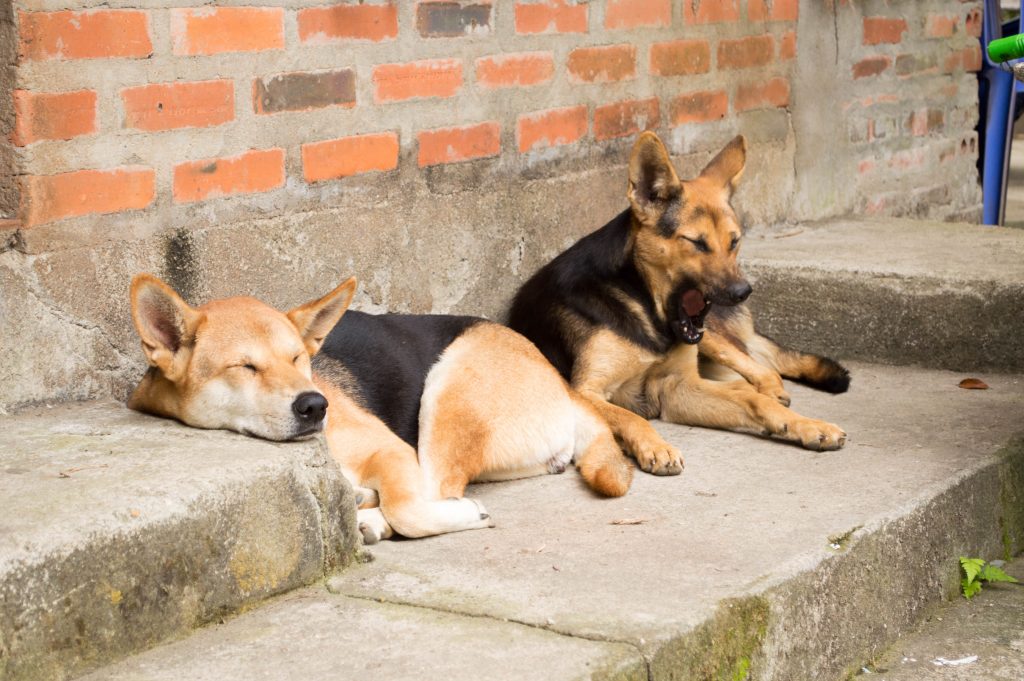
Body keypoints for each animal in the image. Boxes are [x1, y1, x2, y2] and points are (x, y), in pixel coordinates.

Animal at [128, 272, 630, 540]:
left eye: (298, 359)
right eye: (245, 367)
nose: (316, 405)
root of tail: (560, 383)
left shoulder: (391, 450)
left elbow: (409, 509)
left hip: (448, 390)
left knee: (433, 490)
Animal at [507, 130, 851, 475]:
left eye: (734, 241)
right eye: (697, 243)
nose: (743, 291)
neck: (642, 302)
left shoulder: (677, 387)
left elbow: (754, 401)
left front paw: (807, 425)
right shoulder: (585, 391)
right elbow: (631, 417)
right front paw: (656, 446)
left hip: (713, 340)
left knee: (766, 375)